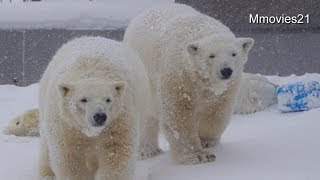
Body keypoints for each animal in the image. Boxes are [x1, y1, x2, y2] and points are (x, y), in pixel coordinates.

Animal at [38, 35, 151, 179]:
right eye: (83, 99)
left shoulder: (118, 121)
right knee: (45, 147)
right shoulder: (66, 125)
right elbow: (69, 156)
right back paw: (46, 174)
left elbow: (116, 154)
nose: (100, 116)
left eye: (108, 99)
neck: (92, 70)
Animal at [124, 3, 254, 165]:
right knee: (145, 115)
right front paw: (199, 155)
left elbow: (217, 111)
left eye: (234, 53)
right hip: (142, 75)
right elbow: (179, 113)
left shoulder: (228, 87)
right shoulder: (179, 74)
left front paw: (206, 141)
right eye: (211, 55)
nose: (226, 71)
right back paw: (146, 150)